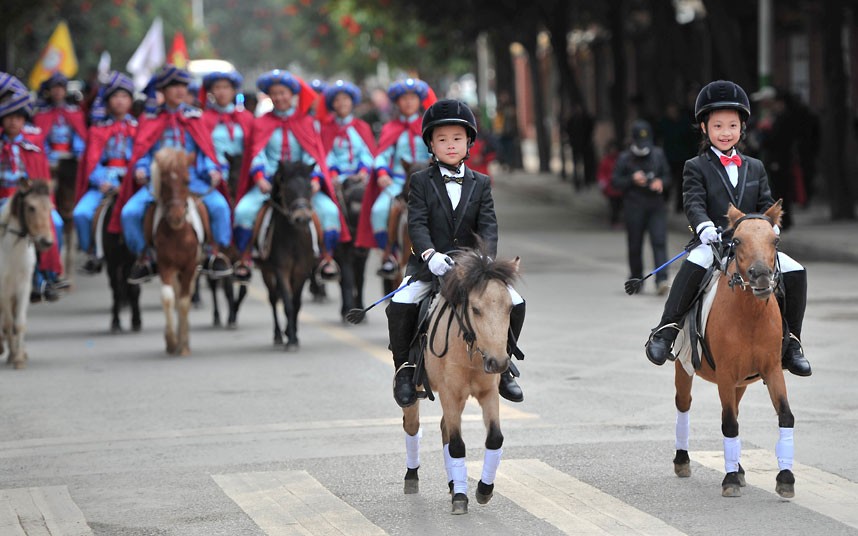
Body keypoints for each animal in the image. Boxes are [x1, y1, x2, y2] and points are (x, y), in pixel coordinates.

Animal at [260, 159, 318, 352]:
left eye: (309, 187)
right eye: (288, 189)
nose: (302, 218)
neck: (293, 238)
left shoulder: (302, 271)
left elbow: (296, 303)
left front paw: (293, 335)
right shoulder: (281, 269)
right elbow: (287, 303)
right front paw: (290, 338)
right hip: (266, 271)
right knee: (273, 299)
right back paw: (279, 334)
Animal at [400, 251, 520, 516]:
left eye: (510, 308)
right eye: (475, 309)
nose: (499, 363)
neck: (471, 351)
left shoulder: (488, 392)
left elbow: (495, 438)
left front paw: (483, 489)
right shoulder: (450, 393)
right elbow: (456, 445)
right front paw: (461, 498)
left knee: (444, 427)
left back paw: (454, 482)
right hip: (420, 395)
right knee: (412, 426)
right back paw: (413, 477)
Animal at [668, 201, 796, 498]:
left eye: (775, 240)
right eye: (736, 241)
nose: (761, 277)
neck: (750, 315)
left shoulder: (772, 369)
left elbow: (785, 415)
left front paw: (785, 477)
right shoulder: (725, 374)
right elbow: (728, 423)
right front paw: (729, 480)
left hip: (741, 382)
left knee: (735, 411)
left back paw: (737, 467)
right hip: (685, 367)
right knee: (684, 405)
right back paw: (683, 460)